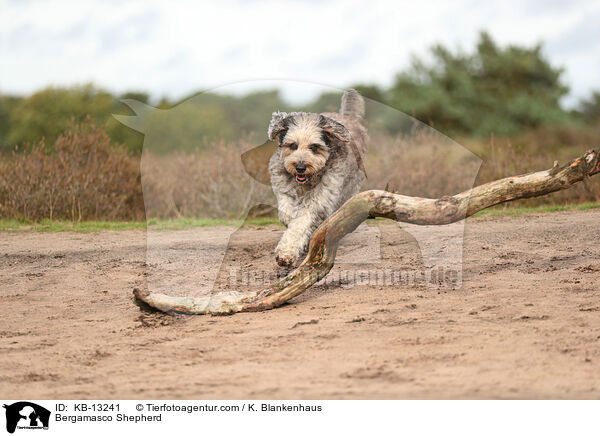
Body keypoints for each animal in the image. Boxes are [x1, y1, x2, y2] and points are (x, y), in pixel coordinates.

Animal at [270, 88, 368, 266]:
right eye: (293, 145)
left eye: (314, 147)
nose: (300, 167)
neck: (308, 181)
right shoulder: (281, 181)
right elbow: (286, 205)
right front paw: (288, 217)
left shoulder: (320, 197)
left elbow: (301, 222)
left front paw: (286, 253)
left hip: (348, 189)